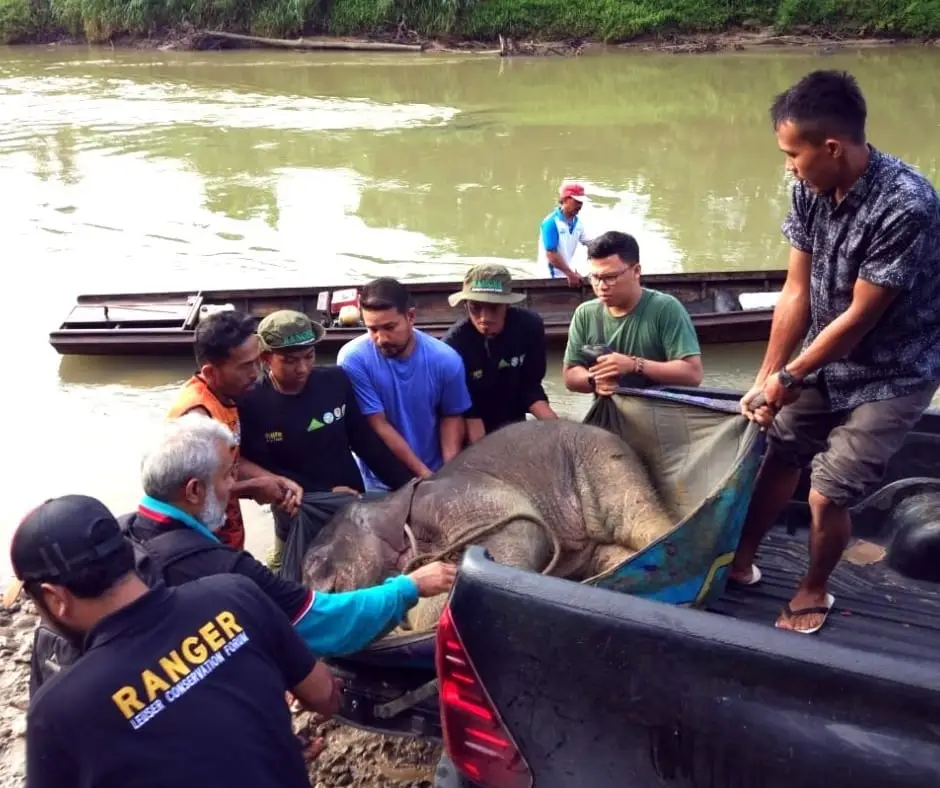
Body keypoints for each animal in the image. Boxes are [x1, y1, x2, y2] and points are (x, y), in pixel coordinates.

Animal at [302, 418, 676, 636]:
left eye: (313, 561)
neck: (386, 504)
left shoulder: (457, 499)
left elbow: (517, 530)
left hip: (600, 457)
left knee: (635, 517)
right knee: (611, 554)